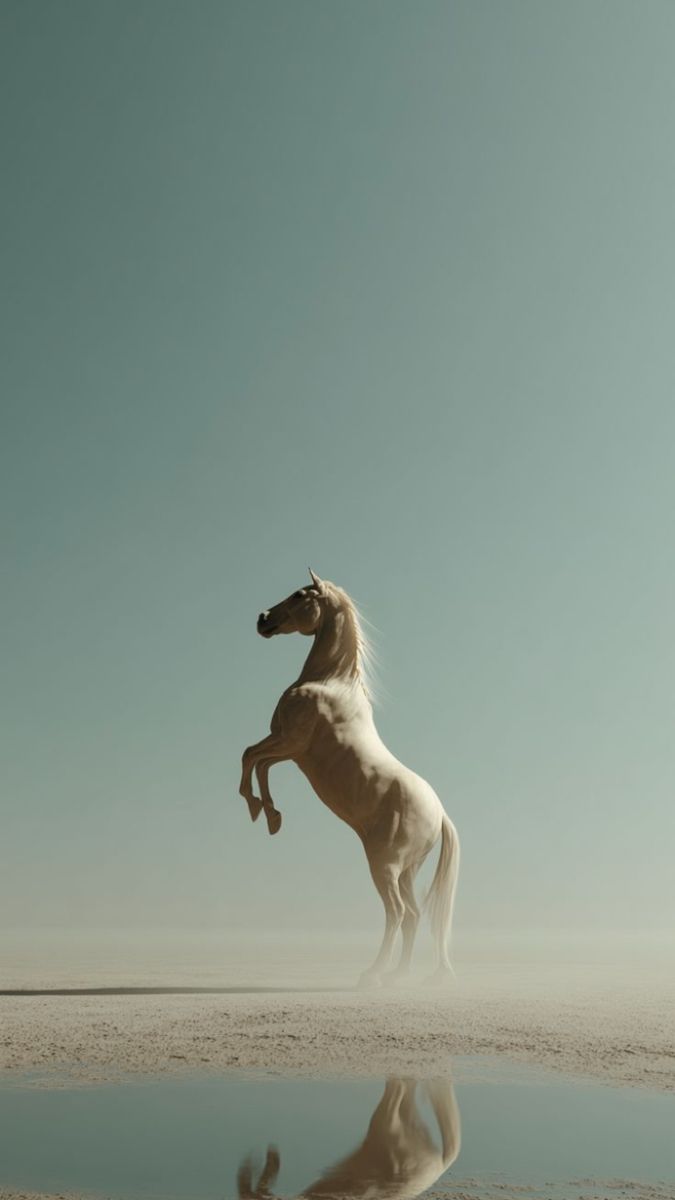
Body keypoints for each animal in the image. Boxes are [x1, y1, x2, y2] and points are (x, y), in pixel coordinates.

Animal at [238, 569, 460, 986]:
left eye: (299, 594)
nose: (262, 619)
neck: (329, 683)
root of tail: (439, 813)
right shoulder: (289, 750)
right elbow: (259, 763)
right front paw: (270, 816)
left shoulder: (291, 743)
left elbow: (250, 758)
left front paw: (261, 810)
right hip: (406, 870)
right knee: (413, 915)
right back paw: (397, 976)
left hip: (384, 865)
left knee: (397, 913)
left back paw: (372, 976)